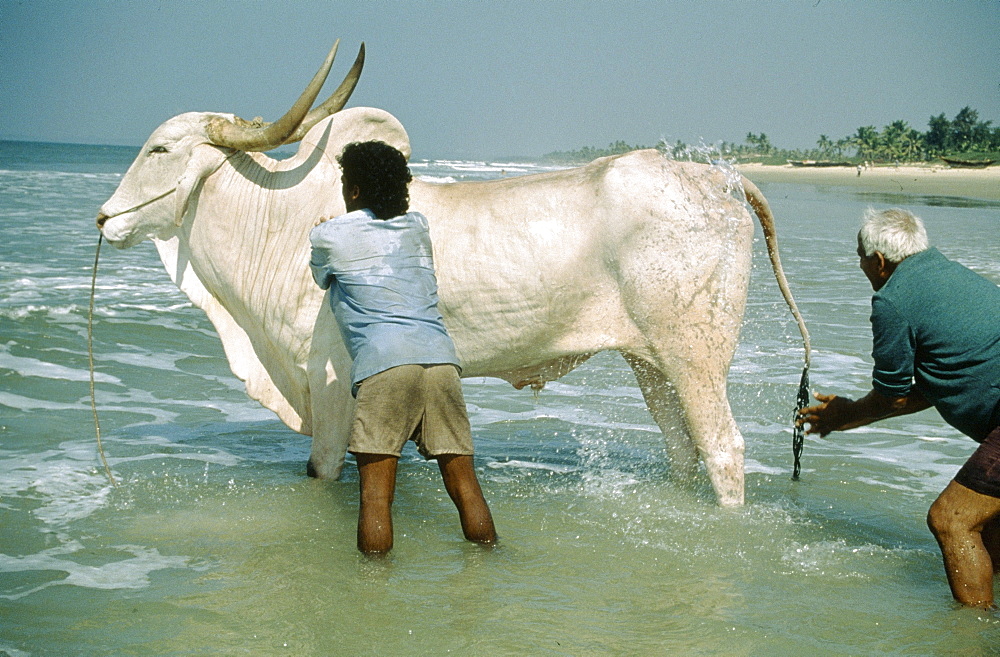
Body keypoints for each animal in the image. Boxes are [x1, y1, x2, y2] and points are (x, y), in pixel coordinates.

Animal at [97, 41, 808, 504]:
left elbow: (323, 471)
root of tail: (717, 178)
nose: (105, 218)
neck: (277, 220)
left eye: (159, 149)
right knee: (682, 450)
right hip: (651, 363)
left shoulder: (328, 385)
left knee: (724, 451)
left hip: (695, 358)